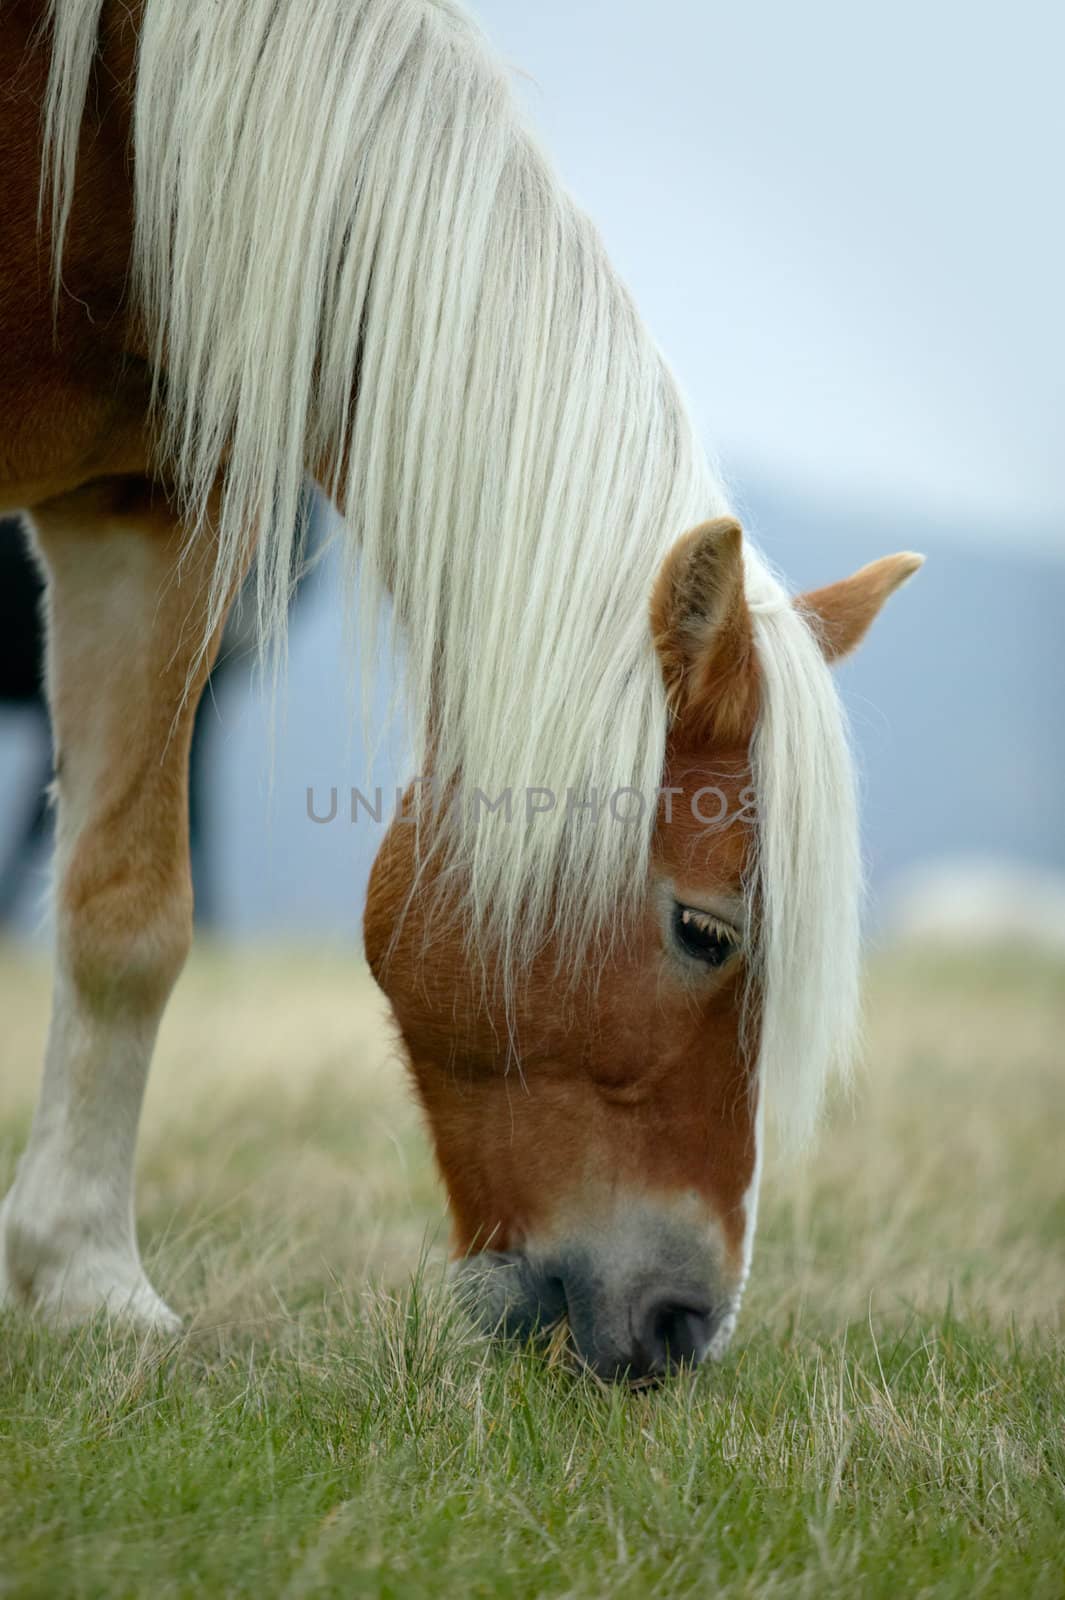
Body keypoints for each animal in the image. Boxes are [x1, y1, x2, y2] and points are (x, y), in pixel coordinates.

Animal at [0, 0, 921, 1382]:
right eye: (705, 930)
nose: (685, 1326)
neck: (113, 122)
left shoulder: (150, 506)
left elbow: (128, 916)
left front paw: (86, 1282)